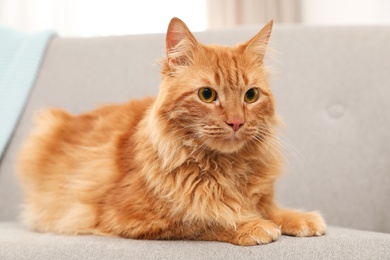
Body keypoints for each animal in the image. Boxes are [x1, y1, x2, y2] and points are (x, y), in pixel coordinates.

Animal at [16, 17, 324, 245]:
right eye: (207, 95)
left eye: (251, 96)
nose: (236, 122)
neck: (224, 168)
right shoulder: (129, 218)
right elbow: (205, 218)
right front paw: (252, 225)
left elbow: (271, 208)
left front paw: (299, 218)